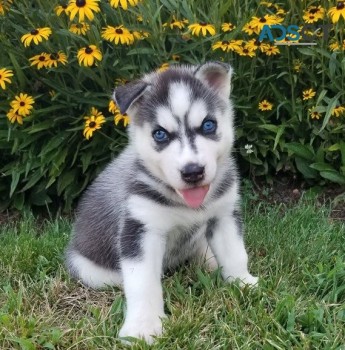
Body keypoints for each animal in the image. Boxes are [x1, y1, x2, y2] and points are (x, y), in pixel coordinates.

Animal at [65, 61, 258, 344]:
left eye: (208, 125)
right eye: (160, 134)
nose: (193, 172)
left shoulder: (223, 215)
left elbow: (235, 253)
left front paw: (242, 282)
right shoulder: (141, 230)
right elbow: (143, 284)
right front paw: (142, 327)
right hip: (90, 270)